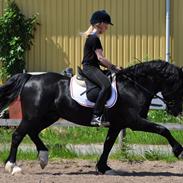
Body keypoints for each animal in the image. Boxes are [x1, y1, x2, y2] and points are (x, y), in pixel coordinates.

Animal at [1, 59, 183, 174]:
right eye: (178, 85)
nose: (177, 111)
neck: (133, 86)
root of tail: (31, 77)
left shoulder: (117, 124)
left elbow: (108, 145)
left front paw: (103, 168)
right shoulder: (134, 121)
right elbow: (163, 129)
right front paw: (178, 151)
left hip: (47, 116)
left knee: (32, 133)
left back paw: (43, 158)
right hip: (33, 116)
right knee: (18, 135)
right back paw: (12, 166)